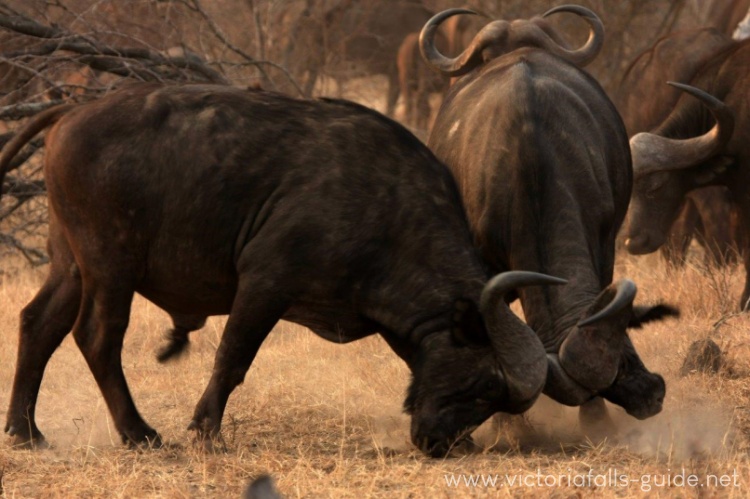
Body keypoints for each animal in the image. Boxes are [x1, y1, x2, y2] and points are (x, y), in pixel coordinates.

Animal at [0, 81, 568, 458]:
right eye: (484, 385)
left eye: (493, 402)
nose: (438, 444)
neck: (389, 208)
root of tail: (72, 110)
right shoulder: (264, 284)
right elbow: (232, 359)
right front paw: (205, 432)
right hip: (111, 265)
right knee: (97, 337)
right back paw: (139, 433)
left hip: (71, 265)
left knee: (38, 324)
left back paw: (26, 431)